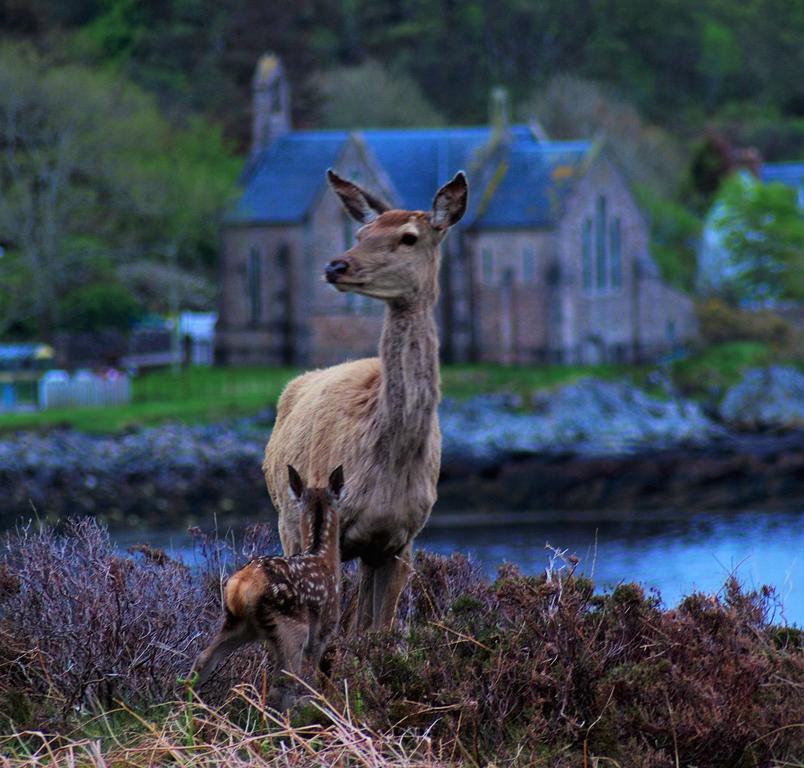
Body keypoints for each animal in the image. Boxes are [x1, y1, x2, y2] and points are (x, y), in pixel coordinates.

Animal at [264, 168, 468, 632]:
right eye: (361, 233)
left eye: (409, 237)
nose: (336, 264)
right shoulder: (322, 524)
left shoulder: (400, 539)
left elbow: (376, 632)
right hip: (286, 518)